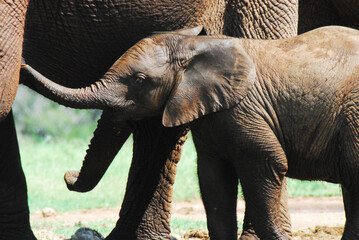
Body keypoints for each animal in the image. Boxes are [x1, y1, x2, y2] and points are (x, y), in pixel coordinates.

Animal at [21, 25, 359, 239]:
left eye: (139, 81)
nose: (67, 175)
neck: (193, 46)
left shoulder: (244, 111)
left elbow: (269, 163)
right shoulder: (212, 118)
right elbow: (212, 180)